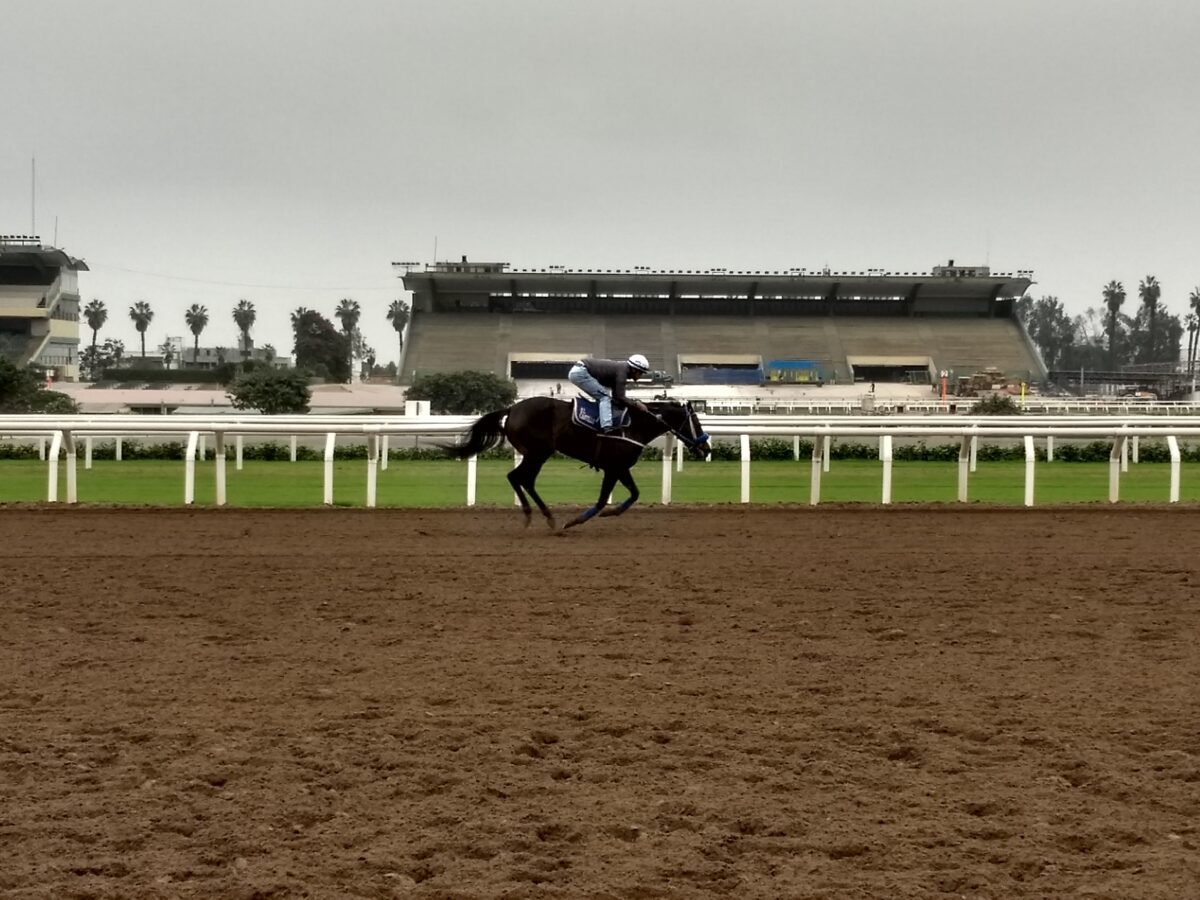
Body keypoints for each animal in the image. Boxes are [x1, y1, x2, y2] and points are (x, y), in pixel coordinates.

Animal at [441, 397, 711, 529]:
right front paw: (576, 520)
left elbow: (634, 494)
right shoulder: (614, 467)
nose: (706, 448)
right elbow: (603, 500)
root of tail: (511, 409)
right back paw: (541, 517)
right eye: (696, 422)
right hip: (538, 452)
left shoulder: (620, 467)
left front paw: (612, 511)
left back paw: (543, 516)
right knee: (519, 477)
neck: (635, 424)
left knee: (522, 479)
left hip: (537, 453)